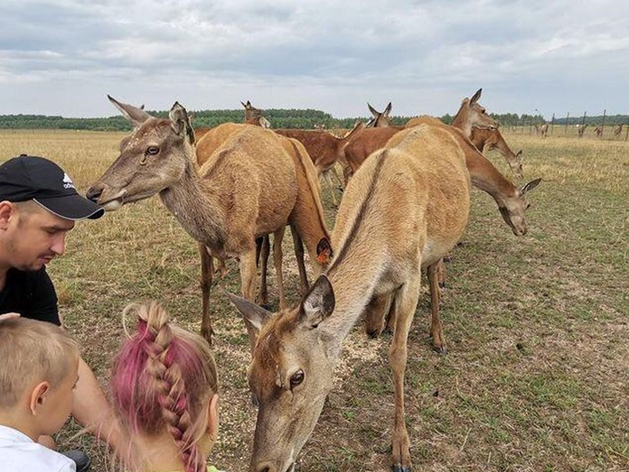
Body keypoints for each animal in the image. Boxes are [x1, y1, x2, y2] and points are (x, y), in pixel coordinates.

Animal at [89, 97, 334, 346]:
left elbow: (247, 305)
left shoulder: (246, 247)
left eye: (152, 149)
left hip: (282, 217)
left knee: (277, 255)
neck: (220, 221)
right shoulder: (201, 243)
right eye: (122, 144)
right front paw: (206, 333)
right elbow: (205, 281)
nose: (94, 192)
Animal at [229, 122, 472, 472]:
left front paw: (401, 451)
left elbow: (398, 354)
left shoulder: (410, 275)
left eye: (296, 377)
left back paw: (437, 338)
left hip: (437, 248)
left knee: (434, 274)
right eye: (250, 376)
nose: (264, 467)